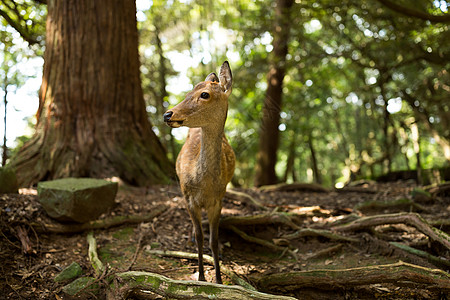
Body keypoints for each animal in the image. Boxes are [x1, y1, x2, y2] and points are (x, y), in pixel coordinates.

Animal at [164, 61, 236, 284]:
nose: (167, 114)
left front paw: (219, 280)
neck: (205, 186)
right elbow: (201, 237)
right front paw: (202, 277)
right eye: (188, 92)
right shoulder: (188, 197)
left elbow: (213, 240)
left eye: (205, 94)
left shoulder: (218, 200)